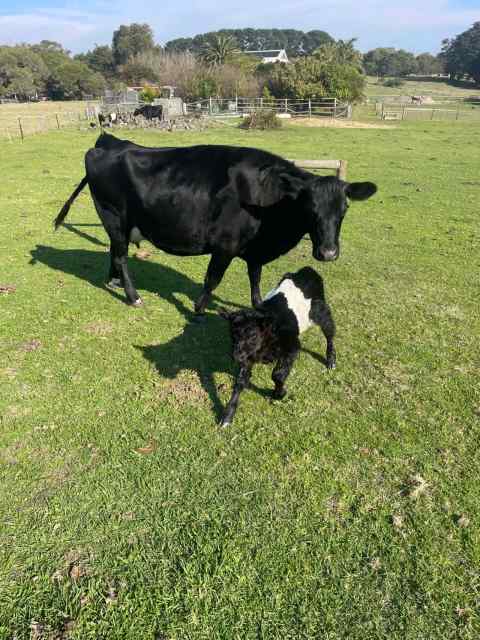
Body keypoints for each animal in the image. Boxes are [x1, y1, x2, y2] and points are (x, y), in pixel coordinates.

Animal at [54, 133, 376, 318]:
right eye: (309, 208)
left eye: (345, 208)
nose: (328, 253)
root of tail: (108, 145)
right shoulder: (225, 245)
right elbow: (213, 280)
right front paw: (198, 309)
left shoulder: (256, 249)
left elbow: (255, 277)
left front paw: (258, 305)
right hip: (114, 215)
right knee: (121, 255)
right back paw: (133, 297)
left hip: (118, 223)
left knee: (114, 252)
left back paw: (114, 282)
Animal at [219, 268, 336, 428]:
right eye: (232, 334)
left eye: (253, 336)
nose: (236, 356)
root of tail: (308, 270)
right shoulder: (248, 357)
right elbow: (240, 381)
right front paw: (227, 416)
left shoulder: (292, 346)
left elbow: (278, 374)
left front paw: (279, 393)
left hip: (321, 311)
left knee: (330, 333)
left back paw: (331, 360)